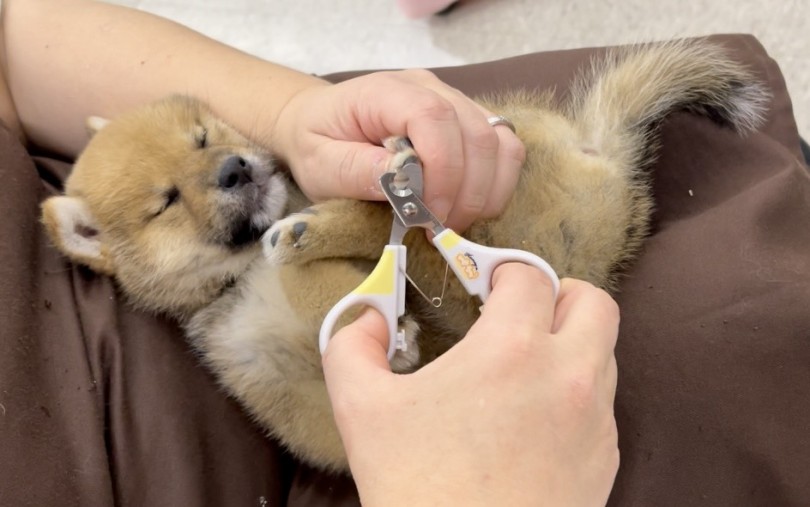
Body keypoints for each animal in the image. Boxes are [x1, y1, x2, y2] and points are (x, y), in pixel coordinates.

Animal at [41, 39, 768, 472]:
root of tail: (604, 158)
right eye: (165, 202)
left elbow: (324, 277)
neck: (240, 278)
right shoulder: (299, 393)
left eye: (202, 136)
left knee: (392, 224)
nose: (233, 168)